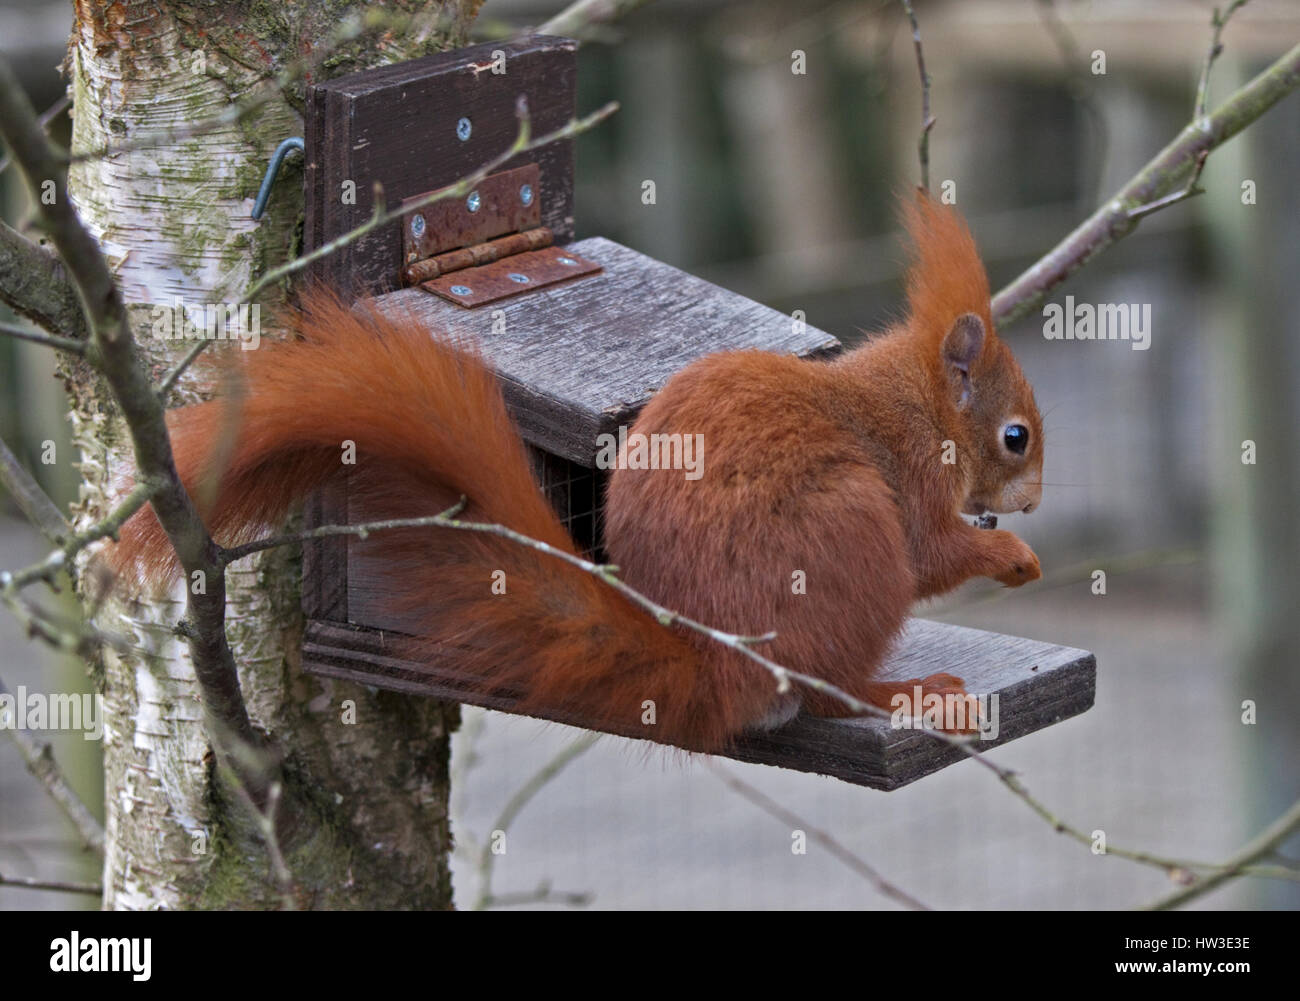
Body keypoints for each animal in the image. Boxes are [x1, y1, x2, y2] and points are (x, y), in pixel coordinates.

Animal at [111, 192, 1045, 748]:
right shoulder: (908, 477)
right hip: (849, 531)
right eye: (1016, 437)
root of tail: (713, 666)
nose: (1034, 503)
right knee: (831, 693)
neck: (921, 405)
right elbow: (933, 552)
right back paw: (910, 691)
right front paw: (1010, 557)